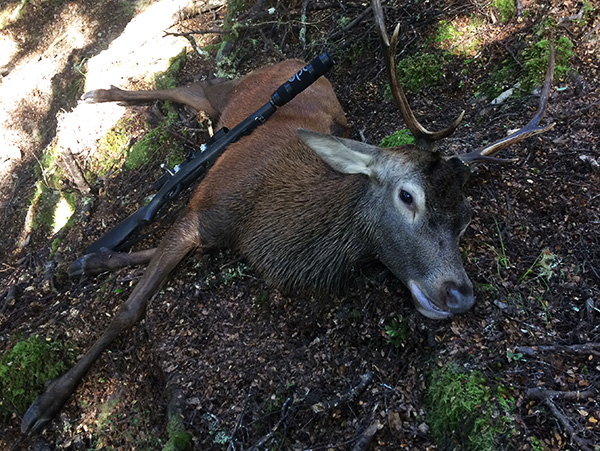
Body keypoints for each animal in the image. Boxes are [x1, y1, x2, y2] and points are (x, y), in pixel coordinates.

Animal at [23, 0, 556, 438]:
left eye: (465, 217)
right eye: (408, 196)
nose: (460, 294)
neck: (265, 223)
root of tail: (289, 61)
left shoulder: (216, 231)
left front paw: (86, 262)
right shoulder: (203, 207)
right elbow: (129, 310)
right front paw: (45, 402)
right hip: (226, 91)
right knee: (190, 84)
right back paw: (98, 93)